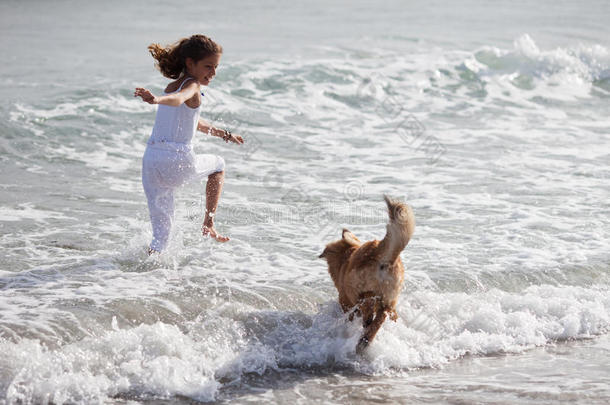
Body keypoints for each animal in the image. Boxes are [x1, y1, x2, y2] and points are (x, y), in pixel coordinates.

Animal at [318, 195, 414, 350]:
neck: (347, 255)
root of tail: (381, 253)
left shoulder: (345, 302)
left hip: (361, 289)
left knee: (369, 306)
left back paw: (365, 331)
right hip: (389, 298)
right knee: (380, 317)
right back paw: (366, 338)